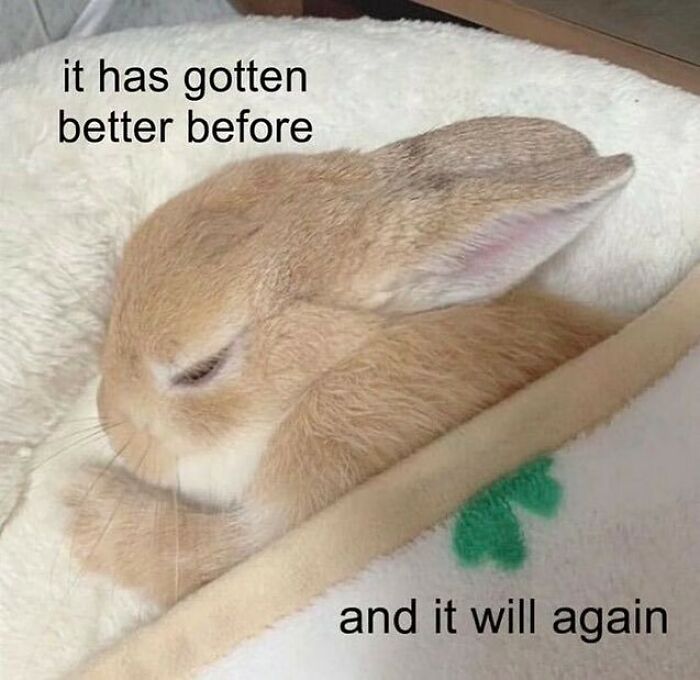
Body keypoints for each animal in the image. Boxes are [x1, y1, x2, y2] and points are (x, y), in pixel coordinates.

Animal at [65, 117, 633, 607]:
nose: (109, 423)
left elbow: (197, 553)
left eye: (201, 369)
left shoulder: (295, 533)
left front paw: (76, 502)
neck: (335, 366)